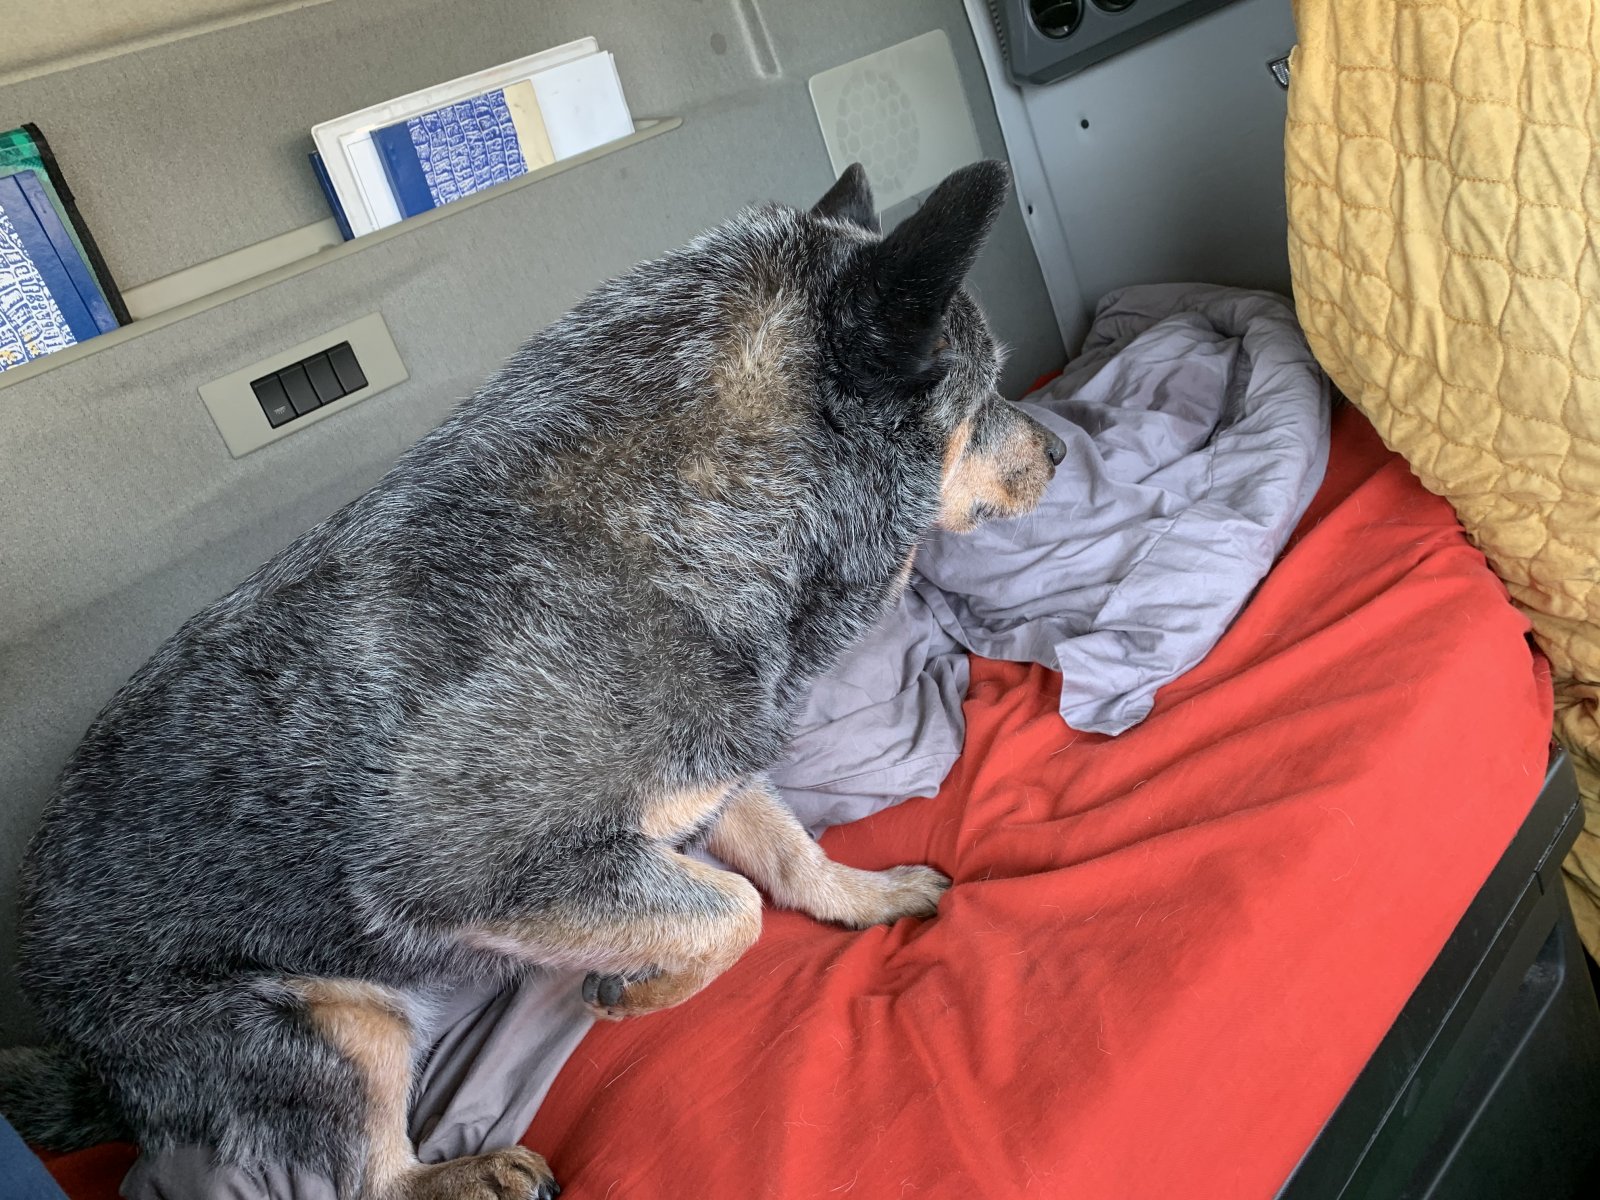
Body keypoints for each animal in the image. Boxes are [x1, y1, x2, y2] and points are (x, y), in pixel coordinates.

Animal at [0, 160, 1065, 1199]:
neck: (680, 521)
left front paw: (863, 895)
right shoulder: (473, 880)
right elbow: (735, 911)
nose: (1058, 447)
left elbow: (787, 858)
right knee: (370, 1177)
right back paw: (462, 1174)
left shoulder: (714, 775)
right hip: (338, 1023)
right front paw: (643, 989)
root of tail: (81, 1054)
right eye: (988, 396)